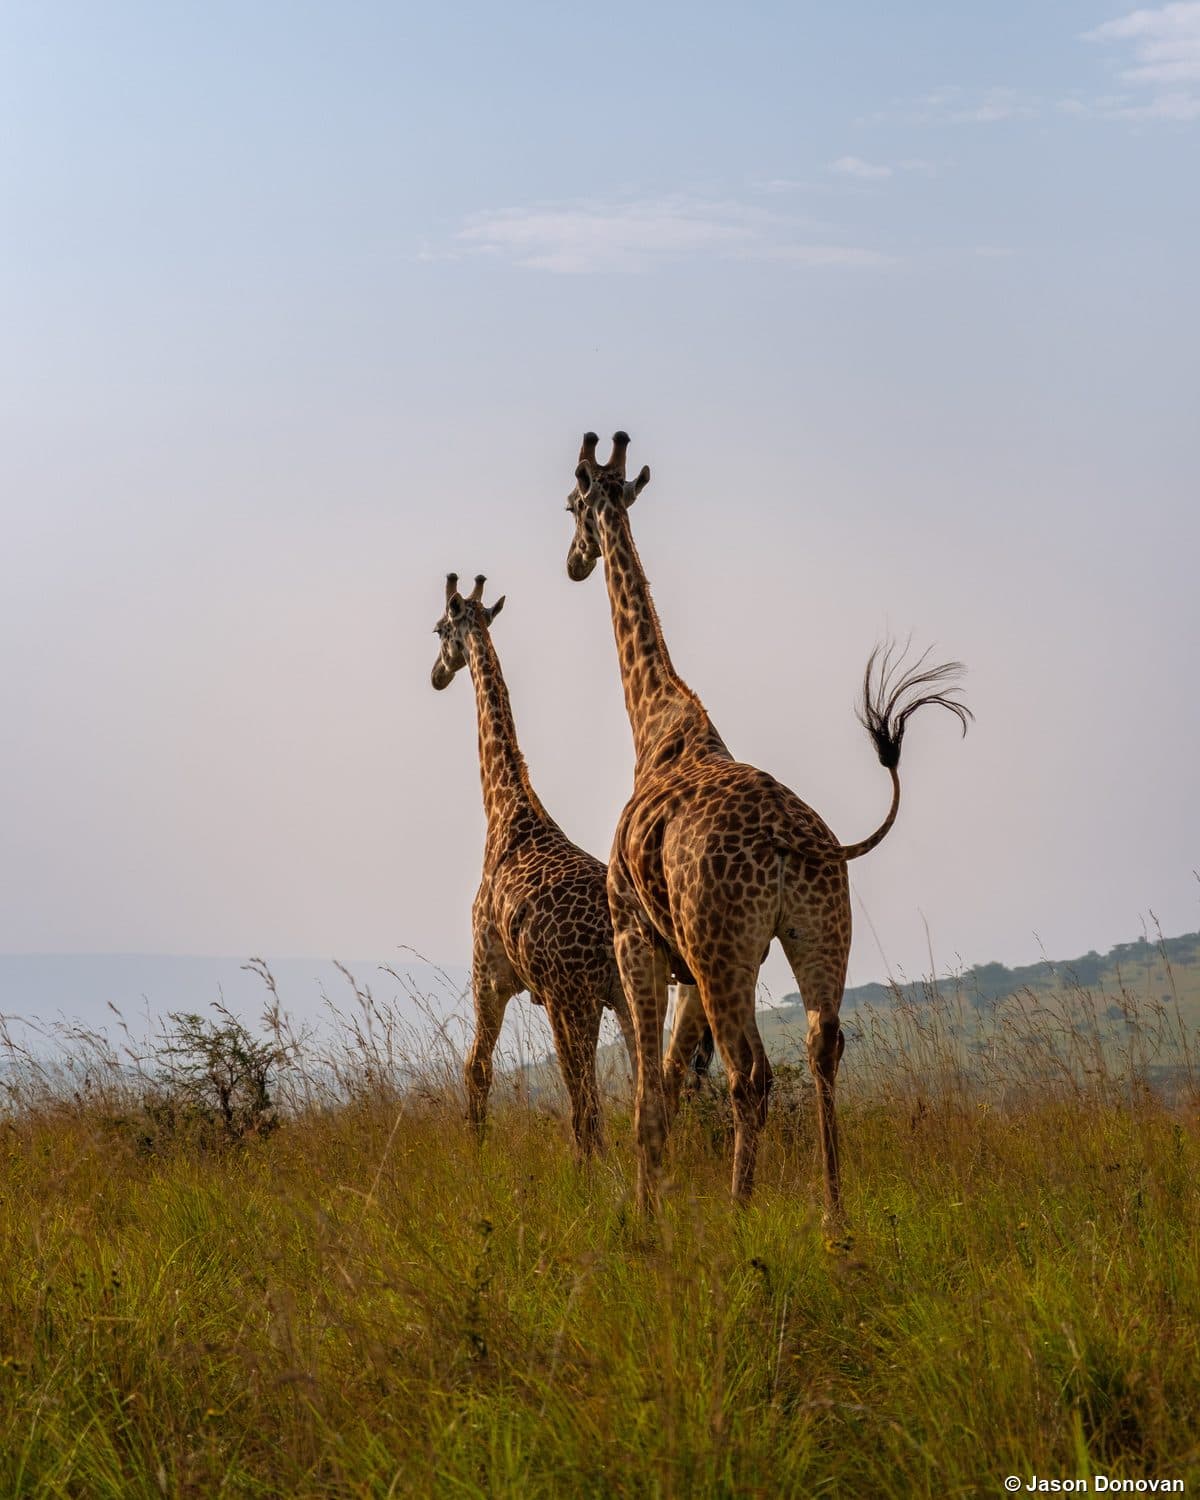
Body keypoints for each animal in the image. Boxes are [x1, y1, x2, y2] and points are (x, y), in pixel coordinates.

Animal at [431, 571, 639, 1155]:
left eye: (438, 629)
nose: (436, 676)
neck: (508, 809)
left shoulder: (488, 973)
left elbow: (477, 1068)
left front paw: (476, 1156)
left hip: (575, 1002)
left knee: (585, 1107)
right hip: (630, 996)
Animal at [563, 432, 971, 1219]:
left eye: (571, 503)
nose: (572, 560)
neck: (656, 723)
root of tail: (793, 841)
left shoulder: (638, 936)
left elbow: (649, 1093)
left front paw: (646, 1215)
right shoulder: (693, 964)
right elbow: (669, 1082)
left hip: (724, 946)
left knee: (749, 1075)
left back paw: (739, 1214)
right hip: (814, 930)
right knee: (823, 1048)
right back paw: (834, 1217)